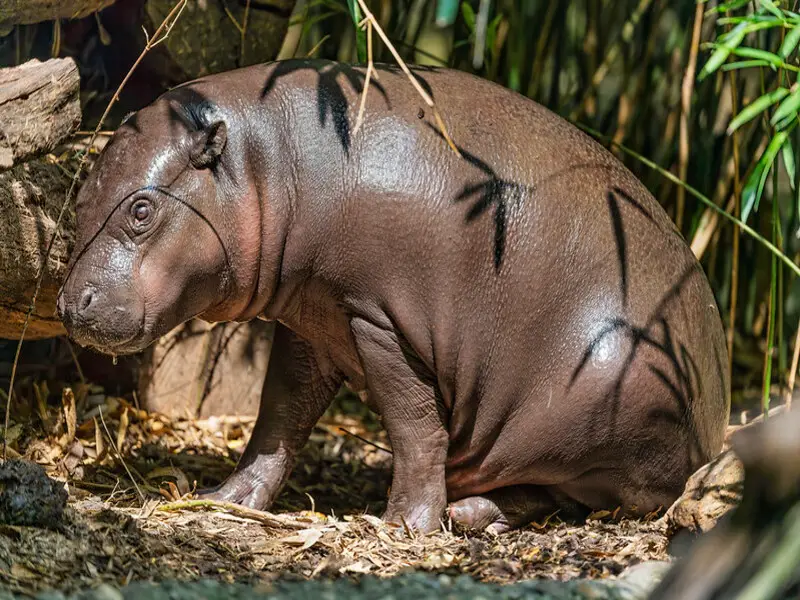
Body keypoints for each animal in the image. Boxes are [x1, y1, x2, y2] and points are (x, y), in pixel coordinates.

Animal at [56, 58, 732, 532]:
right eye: (81, 195)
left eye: (142, 210)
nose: (68, 305)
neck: (267, 158)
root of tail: (715, 421)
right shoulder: (314, 318)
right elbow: (279, 416)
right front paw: (226, 500)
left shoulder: (378, 319)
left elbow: (413, 428)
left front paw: (404, 526)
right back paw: (467, 512)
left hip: (599, 409)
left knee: (571, 491)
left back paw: (464, 514)